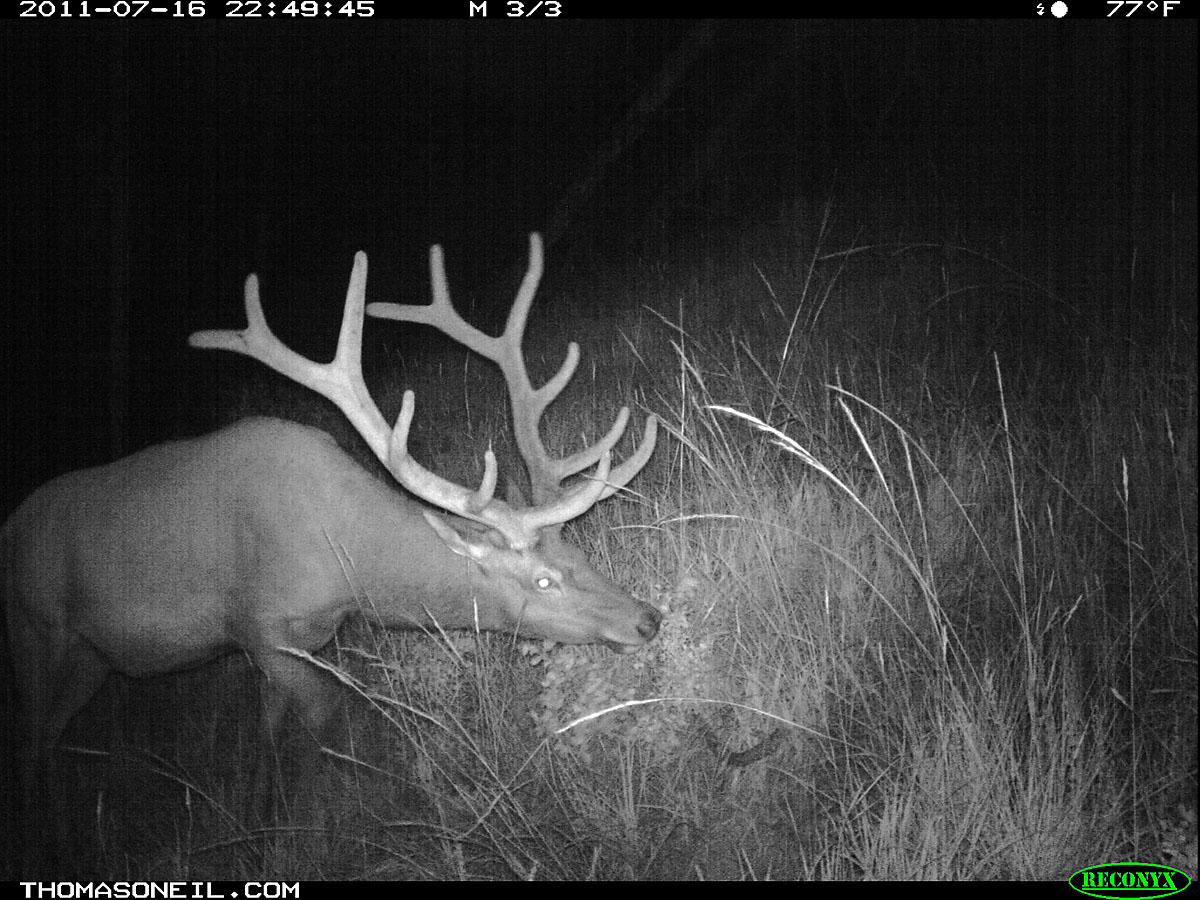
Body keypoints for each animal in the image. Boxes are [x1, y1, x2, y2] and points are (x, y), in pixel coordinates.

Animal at [3, 232, 660, 809]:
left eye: (579, 554)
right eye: (543, 580)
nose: (647, 620)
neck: (347, 571)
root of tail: (11, 526)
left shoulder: (297, 644)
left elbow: (268, 738)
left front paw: (263, 818)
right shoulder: (256, 626)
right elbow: (323, 723)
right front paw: (315, 823)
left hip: (93, 658)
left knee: (49, 740)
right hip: (34, 630)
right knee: (31, 742)